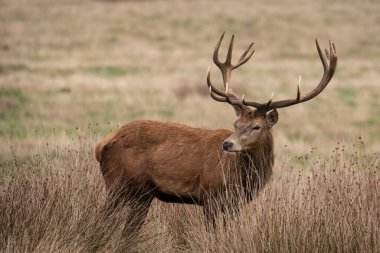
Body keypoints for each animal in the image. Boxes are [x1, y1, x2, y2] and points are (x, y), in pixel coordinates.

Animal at [95, 33, 338, 233]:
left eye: (256, 126)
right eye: (236, 123)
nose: (228, 144)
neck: (242, 179)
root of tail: (102, 144)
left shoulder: (235, 204)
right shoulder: (210, 195)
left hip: (142, 192)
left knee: (130, 230)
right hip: (119, 182)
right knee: (105, 219)